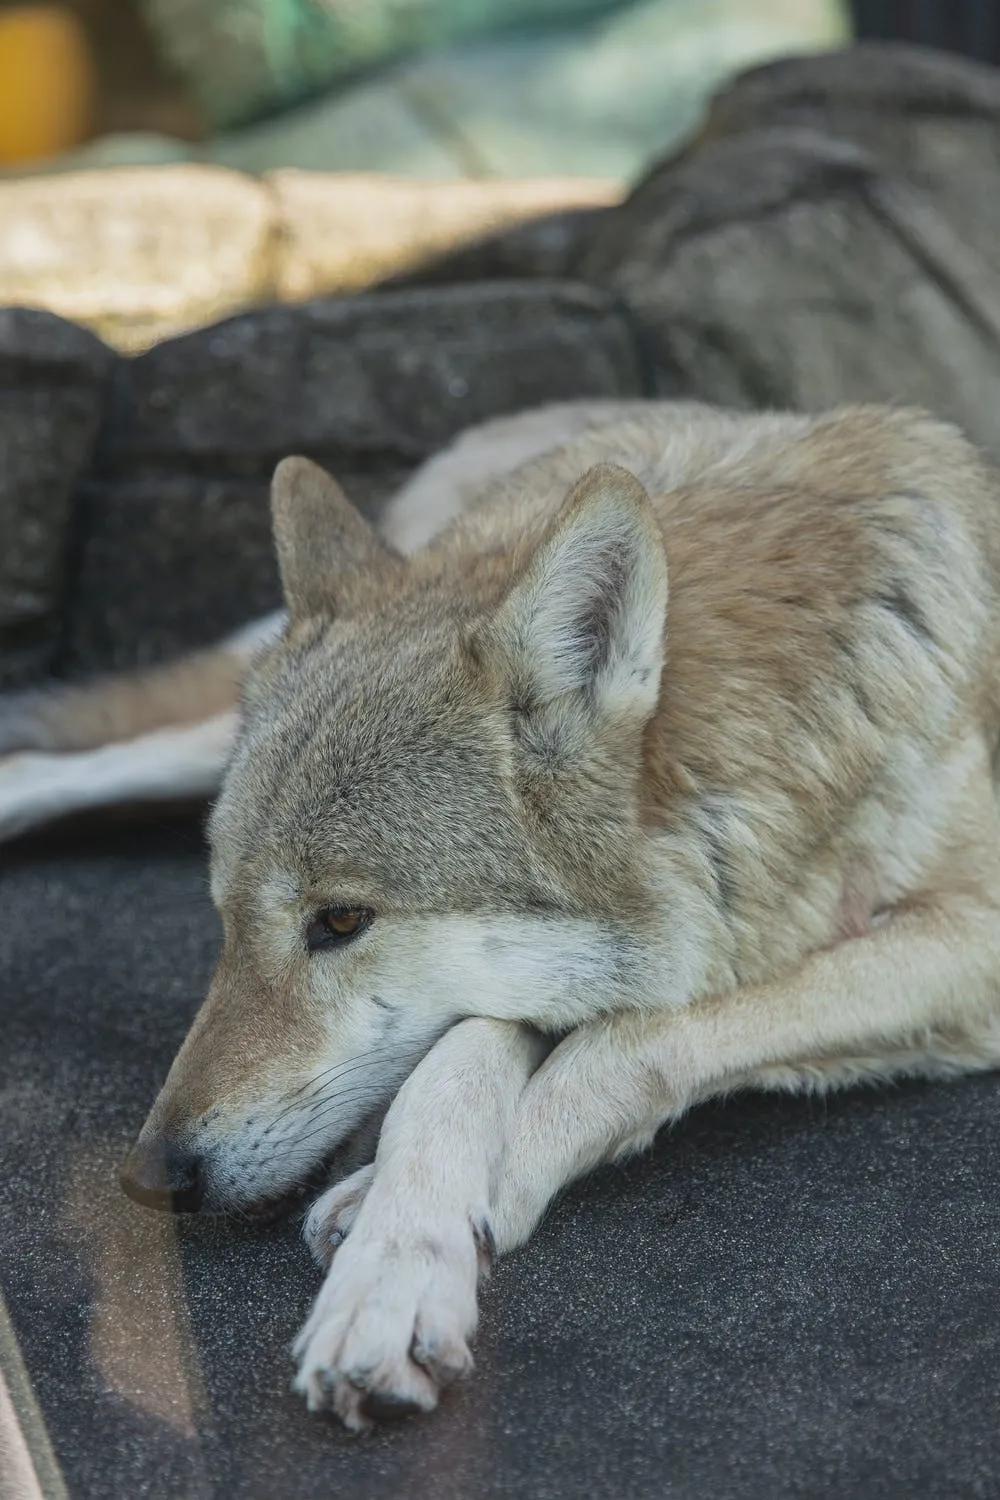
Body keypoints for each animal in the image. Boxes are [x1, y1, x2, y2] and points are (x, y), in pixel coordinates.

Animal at [1, 402, 1000, 1428]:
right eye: (225, 922)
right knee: (69, 762)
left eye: (341, 921)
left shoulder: (970, 940)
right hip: (202, 739)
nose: (153, 1178)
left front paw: (407, 1231)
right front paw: (398, 1261)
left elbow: (637, 1039)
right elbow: (465, 1059)